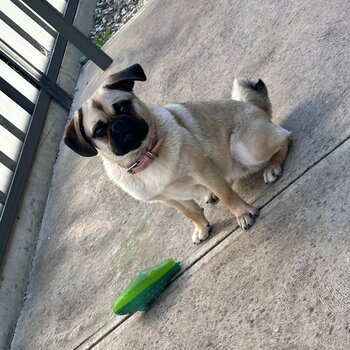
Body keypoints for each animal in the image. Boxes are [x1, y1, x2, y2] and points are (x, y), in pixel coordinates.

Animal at [64, 63, 292, 243]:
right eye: (99, 131)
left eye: (123, 107)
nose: (118, 124)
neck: (146, 154)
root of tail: (252, 105)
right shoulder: (167, 198)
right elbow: (190, 212)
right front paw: (202, 227)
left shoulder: (204, 172)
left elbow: (227, 196)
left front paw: (243, 213)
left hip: (244, 148)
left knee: (286, 138)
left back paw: (272, 166)